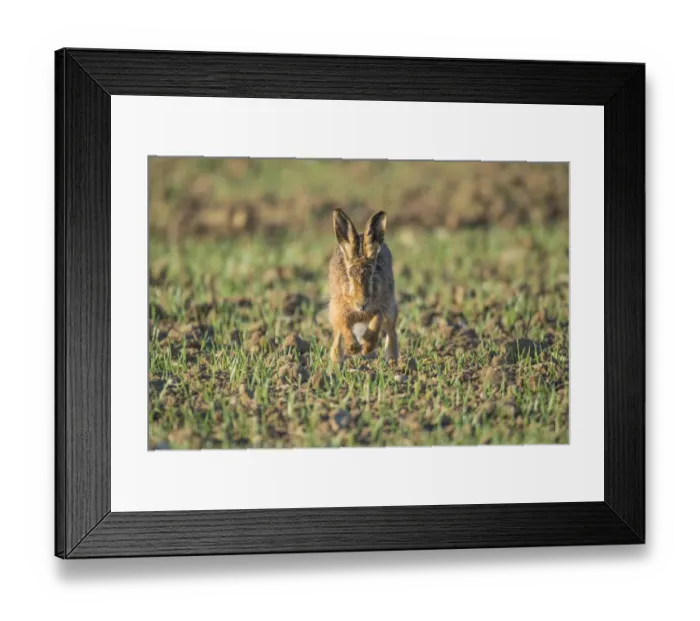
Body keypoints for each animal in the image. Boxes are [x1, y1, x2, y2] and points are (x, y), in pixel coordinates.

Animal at [328, 208, 399, 364]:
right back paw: (336, 361)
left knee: (391, 332)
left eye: (373, 275)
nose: (362, 304)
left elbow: (377, 320)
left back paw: (393, 360)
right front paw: (353, 348)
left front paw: (366, 347)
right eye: (348, 276)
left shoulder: (383, 304)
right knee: (337, 337)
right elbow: (344, 325)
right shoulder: (339, 307)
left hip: (392, 310)